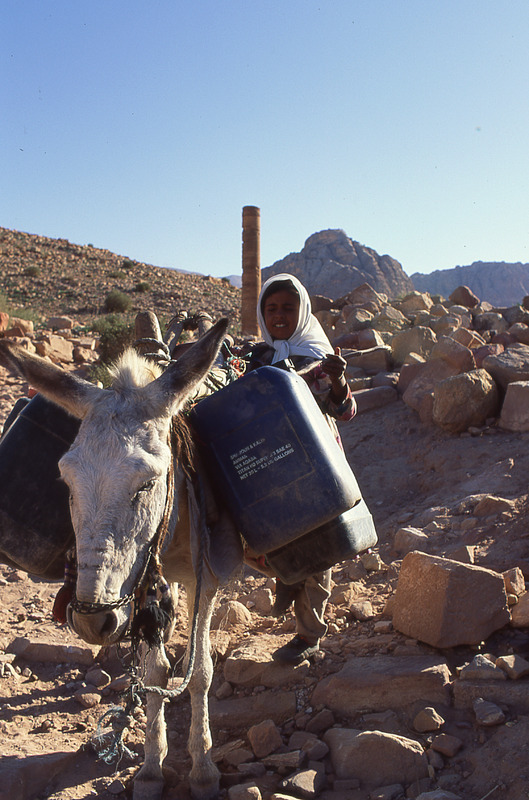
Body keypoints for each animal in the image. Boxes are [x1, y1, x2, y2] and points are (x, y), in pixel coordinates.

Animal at [0, 319, 245, 800]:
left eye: (146, 483)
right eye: (65, 479)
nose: (94, 621)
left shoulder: (204, 576)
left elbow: (201, 672)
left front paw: (203, 769)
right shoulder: (144, 586)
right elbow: (155, 671)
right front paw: (150, 768)